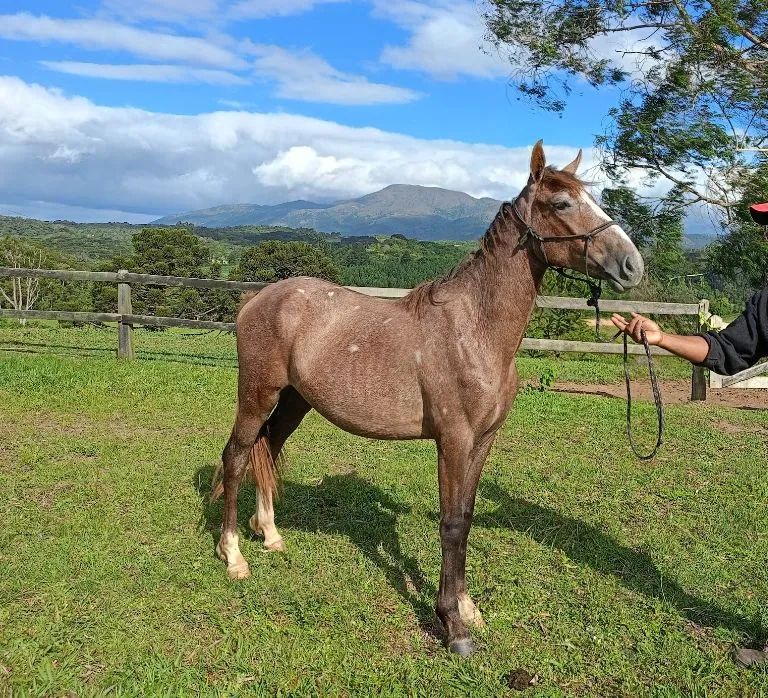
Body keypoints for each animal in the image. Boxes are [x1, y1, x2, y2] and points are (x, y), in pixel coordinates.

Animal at [211, 141, 644, 657]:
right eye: (562, 203)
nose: (633, 265)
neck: (474, 329)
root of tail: (257, 299)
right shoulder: (453, 440)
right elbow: (451, 523)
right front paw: (452, 625)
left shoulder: (482, 441)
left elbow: (467, 517)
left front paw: (468, 608)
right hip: (257, 395)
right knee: (237, 456)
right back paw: (233, 556)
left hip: (295, 402)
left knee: (268, 450)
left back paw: (271, 535)